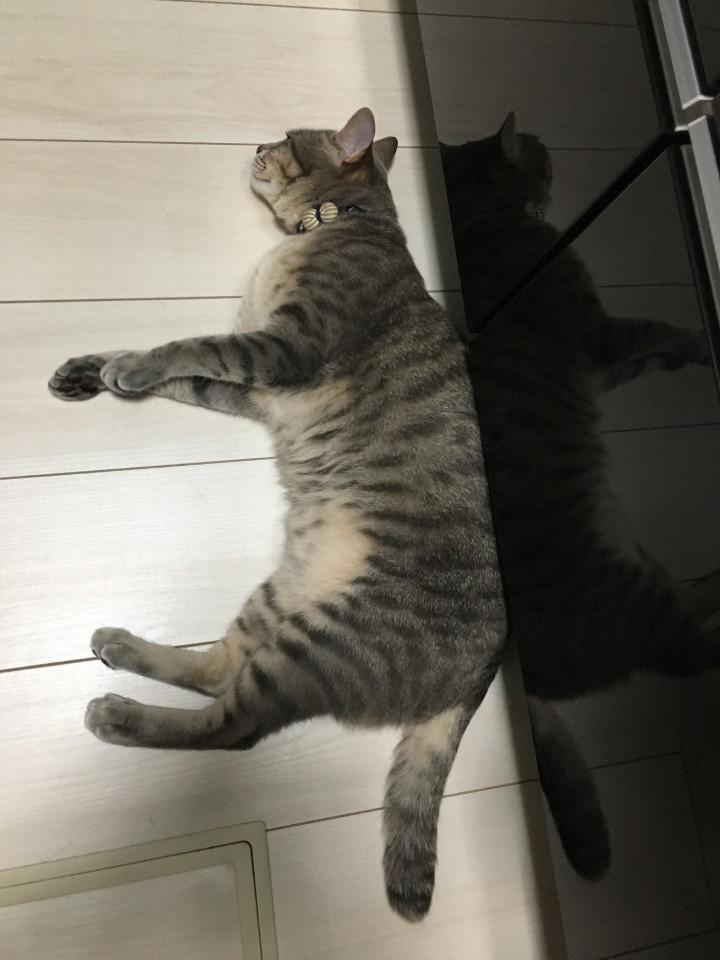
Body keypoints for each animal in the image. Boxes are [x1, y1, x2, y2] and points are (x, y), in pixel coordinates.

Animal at [48, 108, 508, 922]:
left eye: (286, 139)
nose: (255, 146)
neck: (340, 221)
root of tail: (490, 658)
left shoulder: (281, 347)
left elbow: (180, 347)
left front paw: (126, 367)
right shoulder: (250, 388)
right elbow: (173, 366)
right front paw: (91, 370)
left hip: (327, 641)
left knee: (231, 727)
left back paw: (122, 716)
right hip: (282, 596)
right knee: (215, 671)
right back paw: (124, 646)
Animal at [441, 112, 720, 880]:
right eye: (538, 151)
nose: (553, 154)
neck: (481, 221)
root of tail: (519, 674)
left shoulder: (604, 363)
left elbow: (655, 352)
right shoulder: (597, 335)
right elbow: (660, 332)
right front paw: (704, 341)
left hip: (643, 563)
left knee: (694, 603)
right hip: (637, 604)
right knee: (696, 650)